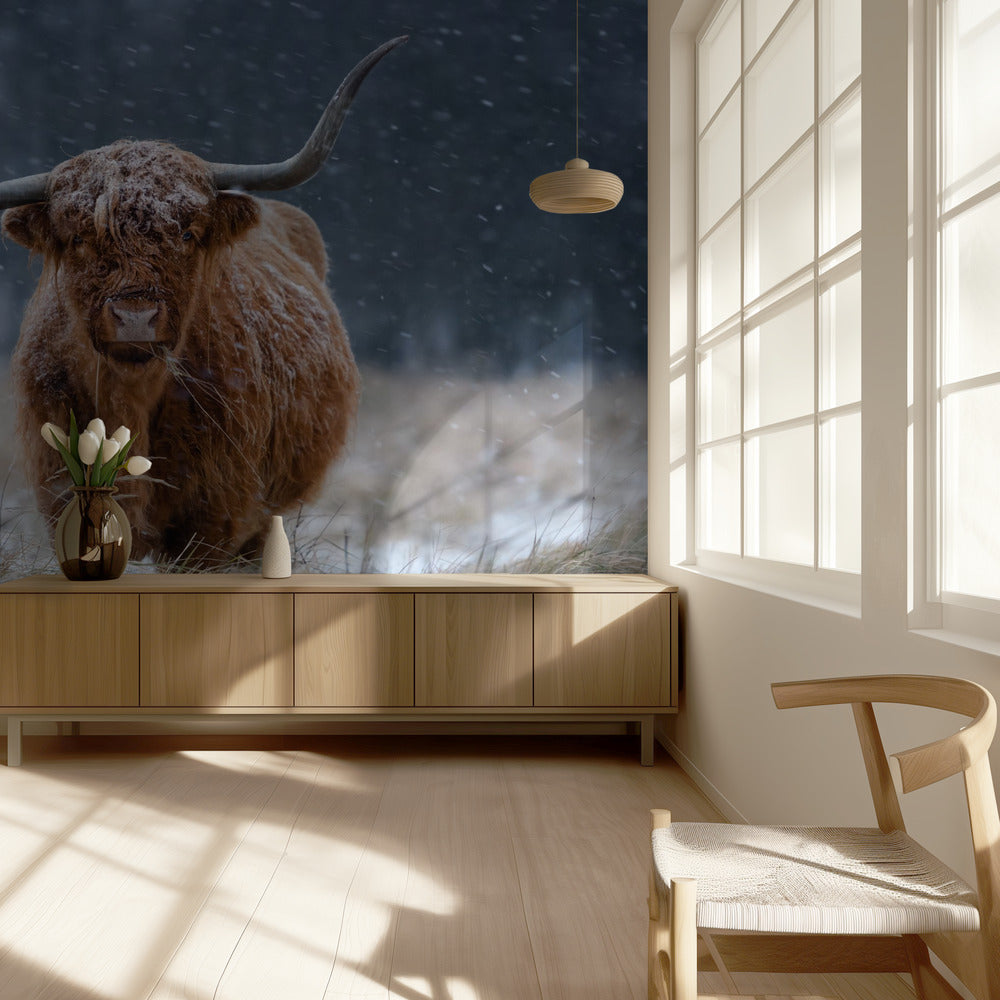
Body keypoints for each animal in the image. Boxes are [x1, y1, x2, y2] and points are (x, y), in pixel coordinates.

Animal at [0, 36, 405, 567]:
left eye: (188, 234)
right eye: (79, 238)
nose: (135, 318)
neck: (130, 401)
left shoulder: (214, 517)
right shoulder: (59, 489)